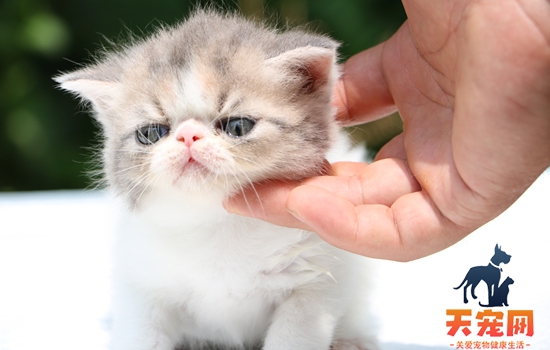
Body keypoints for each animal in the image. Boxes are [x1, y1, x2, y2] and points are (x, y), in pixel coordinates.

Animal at [56, 9, 378, 348]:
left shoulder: (318, 278)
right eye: (151, 133)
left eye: (237, 126)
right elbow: (141, 334)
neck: (219, 222)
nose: (188, 135)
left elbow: (295, 335)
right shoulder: (142, 283)